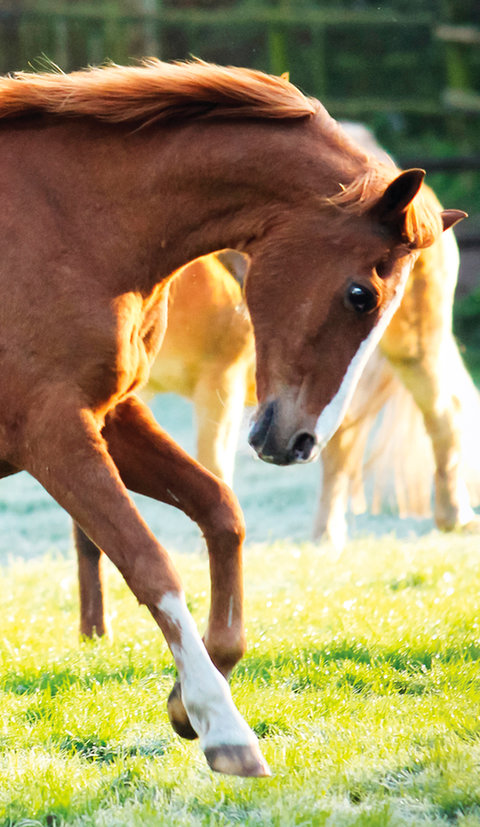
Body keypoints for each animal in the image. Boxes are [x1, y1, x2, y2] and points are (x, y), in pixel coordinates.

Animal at [0, 58, 463, 777]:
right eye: (361, 294)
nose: (298, 439)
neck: (66, 222)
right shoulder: (53, 431)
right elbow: (149, 561)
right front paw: (224, 725)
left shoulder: (110, 417)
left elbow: (220, 510)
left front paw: (188, 698)